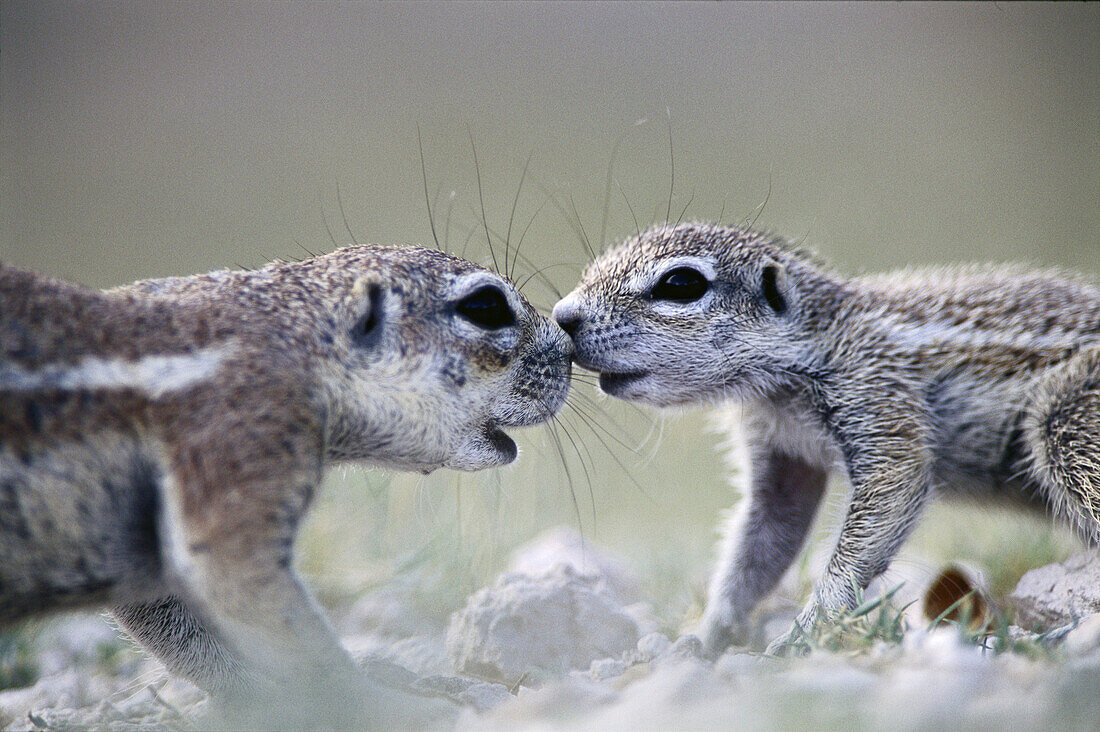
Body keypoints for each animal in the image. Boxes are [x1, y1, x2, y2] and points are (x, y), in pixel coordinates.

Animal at [0, 242, 567, 722]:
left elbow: (189, 637)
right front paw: (379, 703)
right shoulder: (244, 434)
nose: (566, 345)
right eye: (486, 306)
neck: (294, 341)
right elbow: (258, 600)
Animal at [554, 220, 1100, 651]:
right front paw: (707, 636)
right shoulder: (780, 455)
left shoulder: (876, 394)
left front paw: (805, 633)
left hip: (1067, 423)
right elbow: (761, 547)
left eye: (681, 283)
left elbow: (885, 495)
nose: (563, 316)